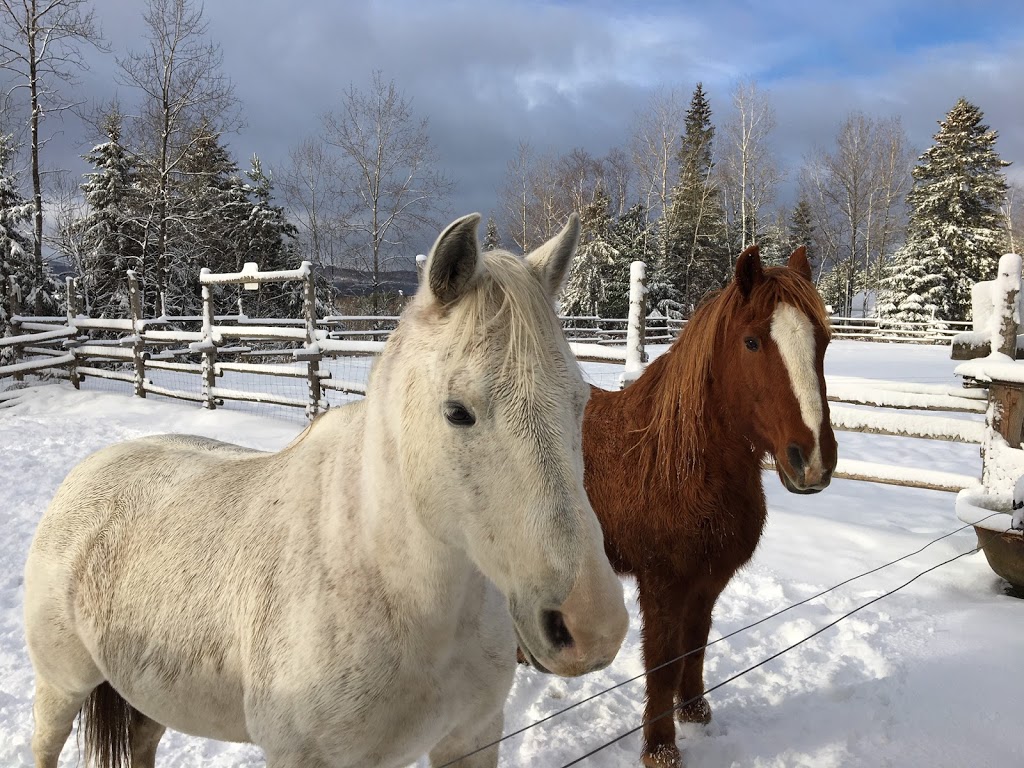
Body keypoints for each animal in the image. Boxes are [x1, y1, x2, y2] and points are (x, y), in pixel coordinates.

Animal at [24, 215, 626, 768]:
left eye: (581, 402)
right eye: (458, 412)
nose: (592, 626)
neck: (392, 588)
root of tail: (86, 475)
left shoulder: (472, 739)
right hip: (61, 688)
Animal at [585, 247, 839, 768]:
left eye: (823, 341)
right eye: (751, 342)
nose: (813, 462)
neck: (675, 463)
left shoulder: (708, 581)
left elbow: (696, 644)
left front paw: (695, 710)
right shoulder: (661, 585)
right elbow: (662, 661)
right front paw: (660, 747)